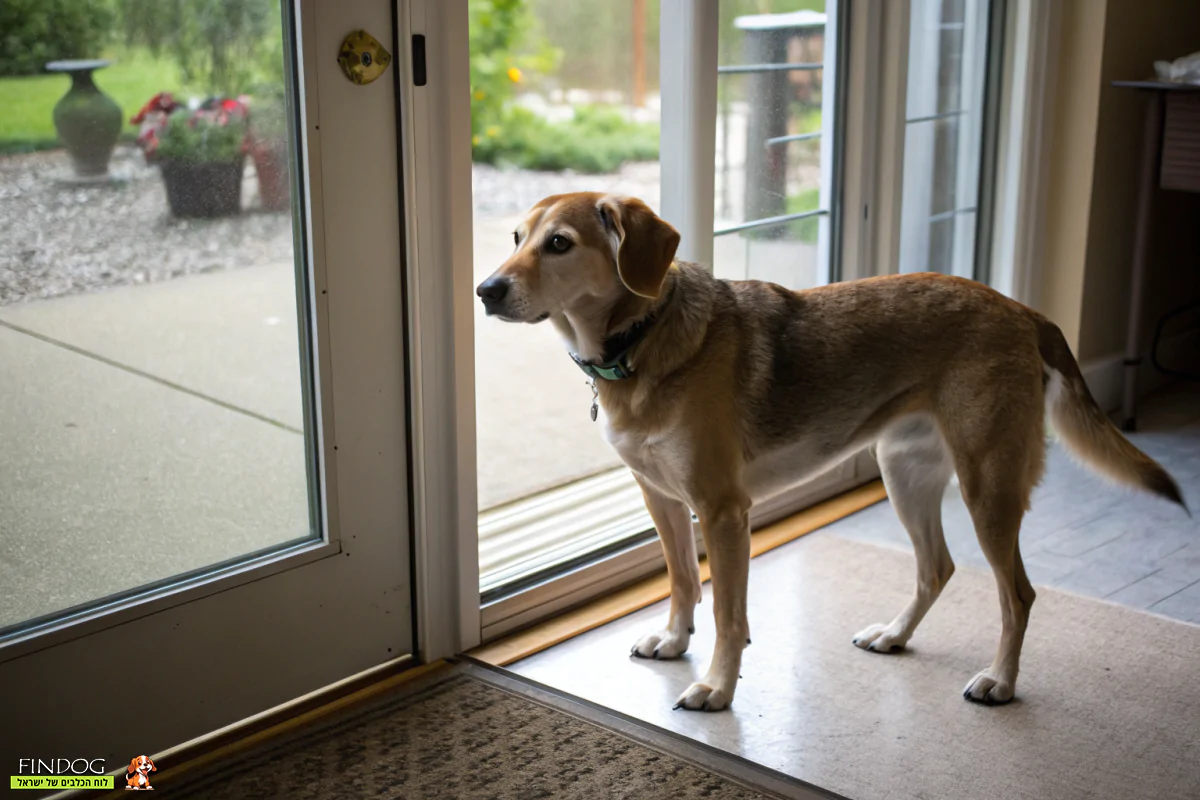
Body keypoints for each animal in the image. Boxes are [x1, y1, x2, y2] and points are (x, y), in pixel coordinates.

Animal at [472, 194, 1185, 714]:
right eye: (516, 237)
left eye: (559, 243)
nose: (485, 290)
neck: (638, 341)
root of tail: (1021, 309)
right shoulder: (663, 501)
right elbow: (682, 582)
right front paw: (675, 641)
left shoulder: (724, 512)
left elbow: (729, 614)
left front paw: (717, 688)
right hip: (906, 474)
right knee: (937, 568)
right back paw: (895, 635)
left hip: (987, 486)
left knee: (1018, 595)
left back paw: (1000, 681)